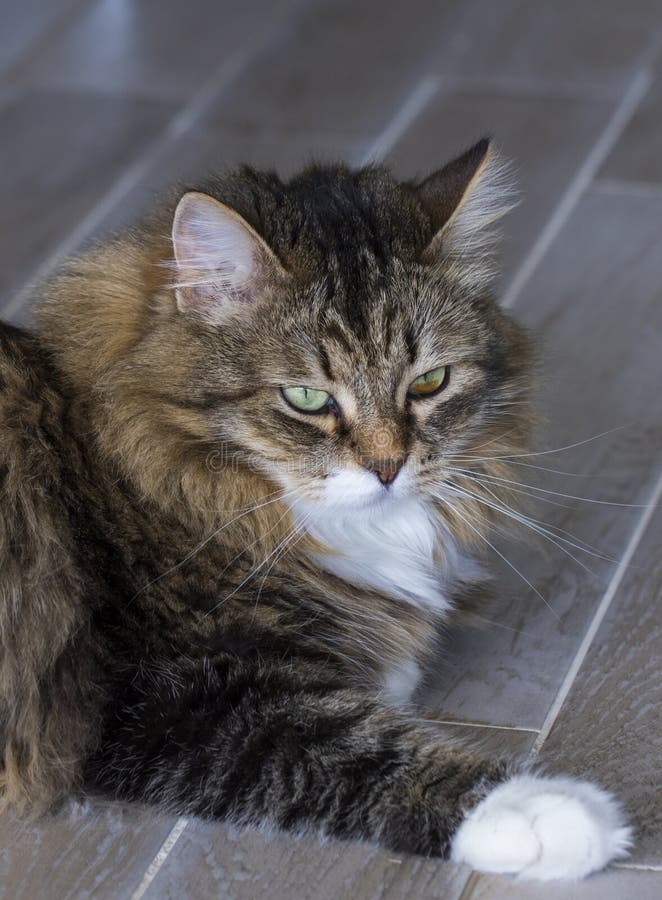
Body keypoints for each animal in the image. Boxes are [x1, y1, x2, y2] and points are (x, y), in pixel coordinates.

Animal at [0, 139, 632, 880]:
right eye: (306, 398)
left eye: (429, 382)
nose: (388, 467)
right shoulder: (164, 696)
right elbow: (352, 750)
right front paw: (547, 810)